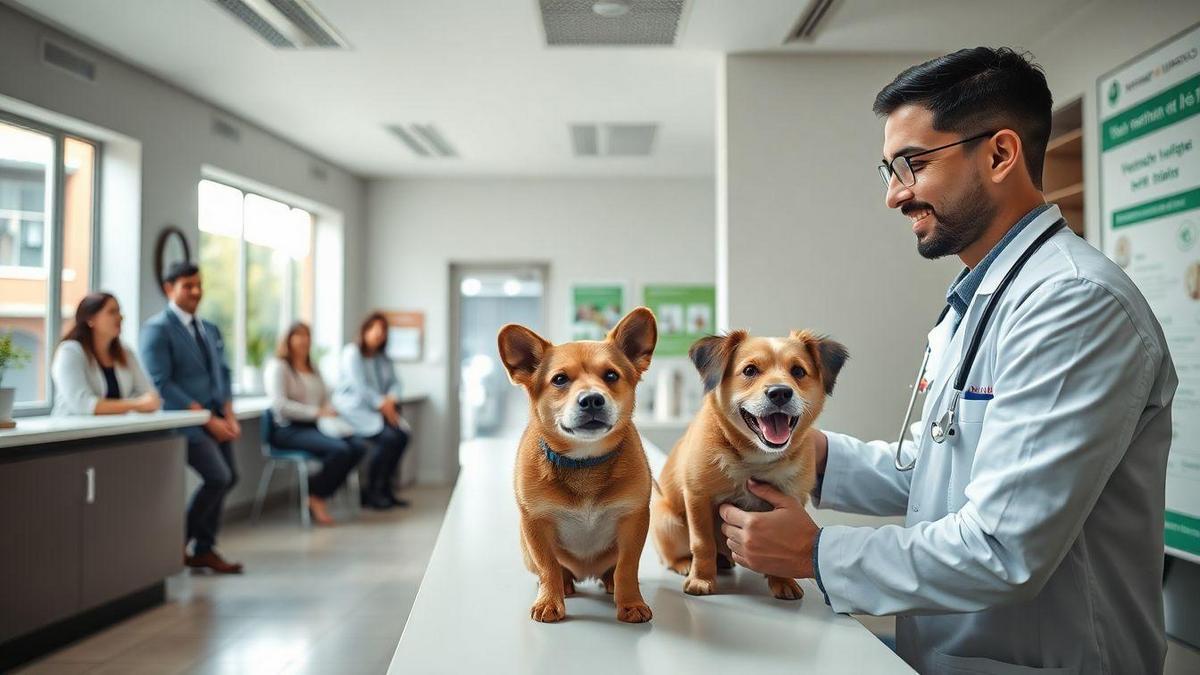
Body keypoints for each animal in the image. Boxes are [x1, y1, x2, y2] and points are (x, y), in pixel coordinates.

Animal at [501, 305, 662, 619]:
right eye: (559, 379)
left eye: (611, 375)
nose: (591, 399)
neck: (585, 462)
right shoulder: (535, 524)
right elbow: (548, 567)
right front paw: (550, 600)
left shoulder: (634, 520)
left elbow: (627, 567)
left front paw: (631, 602)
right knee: (553, 570)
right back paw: (566, 584)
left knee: (612, 570)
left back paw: (609, 582)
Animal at [652, 329, 849, 595]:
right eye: (749, 370)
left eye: (798, 371)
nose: (780, 392)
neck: (756, 458)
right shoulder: (697, 497)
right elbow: (703, 543)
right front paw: (701, 579)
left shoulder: (789, 502)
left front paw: (783, 581)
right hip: (669, 522)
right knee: (672, 554)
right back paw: (684, 563)